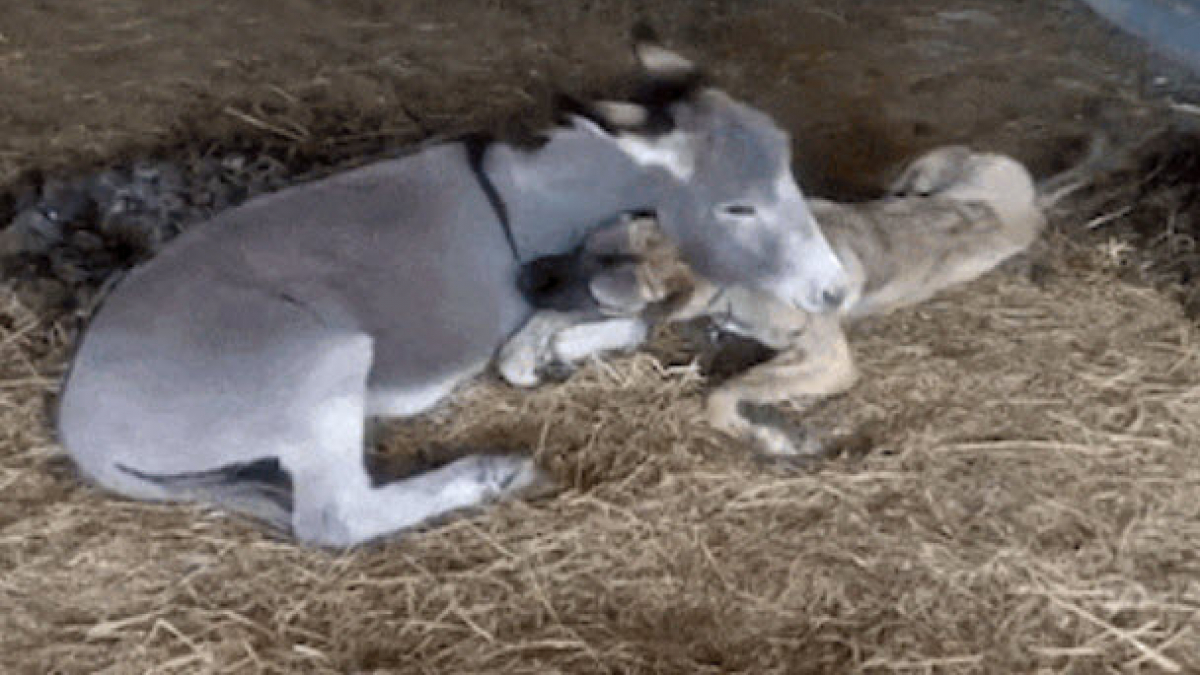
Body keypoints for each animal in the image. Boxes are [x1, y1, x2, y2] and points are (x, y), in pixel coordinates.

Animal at [54, 44, 844, 542]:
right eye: (738, 207)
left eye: (791, 169)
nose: (834, 290)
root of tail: (80, 426)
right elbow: (598, 326)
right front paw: (555, 352)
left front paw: (556, 354)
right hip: (319, 362)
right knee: (334, 519)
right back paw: (492, 473)